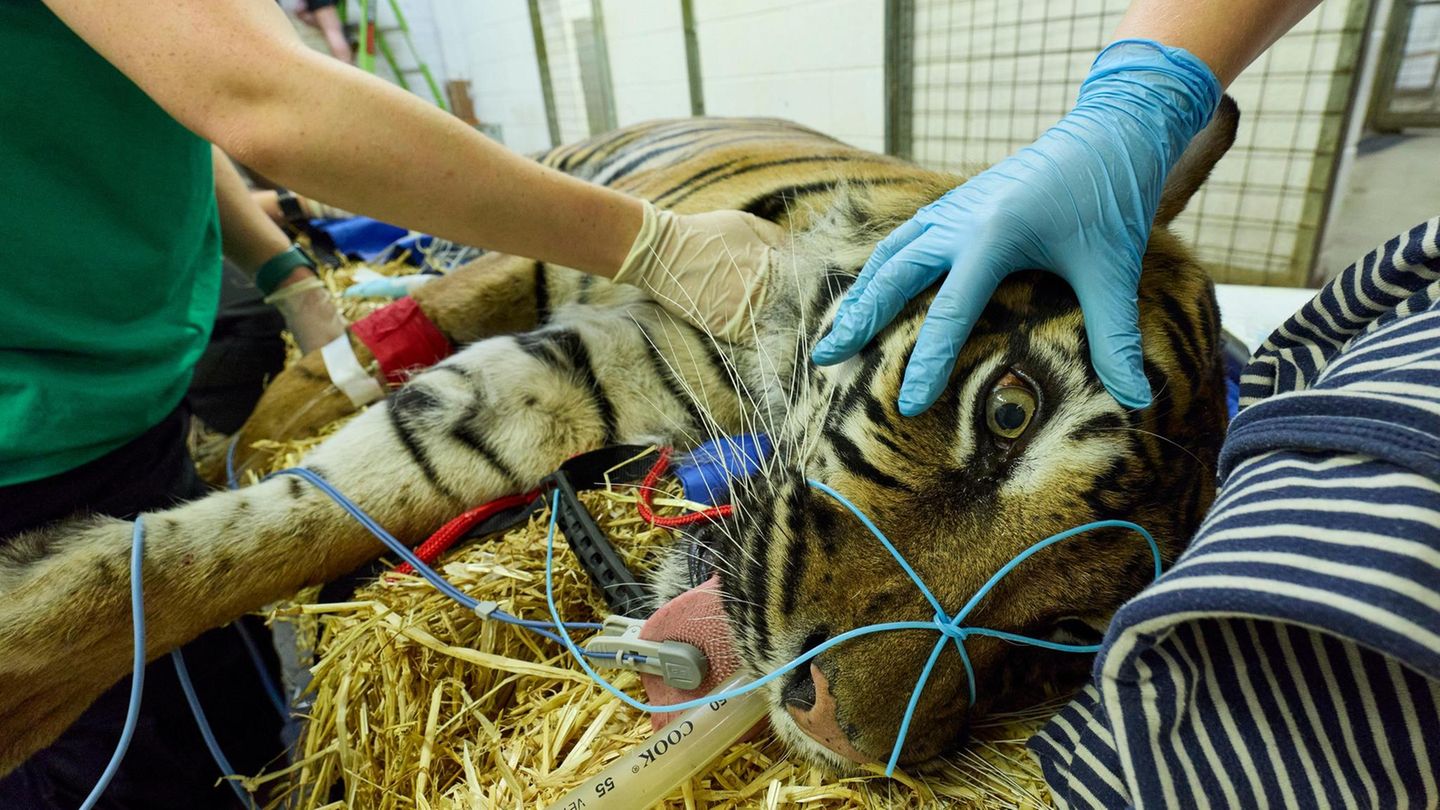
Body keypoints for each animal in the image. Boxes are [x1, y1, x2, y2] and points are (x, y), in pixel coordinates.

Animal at [0, 100, 1237, 775]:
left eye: (1067, 631)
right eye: (1010, 411)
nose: (841, 741)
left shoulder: (576, 387)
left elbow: (339, 494)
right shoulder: (595, 339)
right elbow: (278, 514)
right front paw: (27, 656)